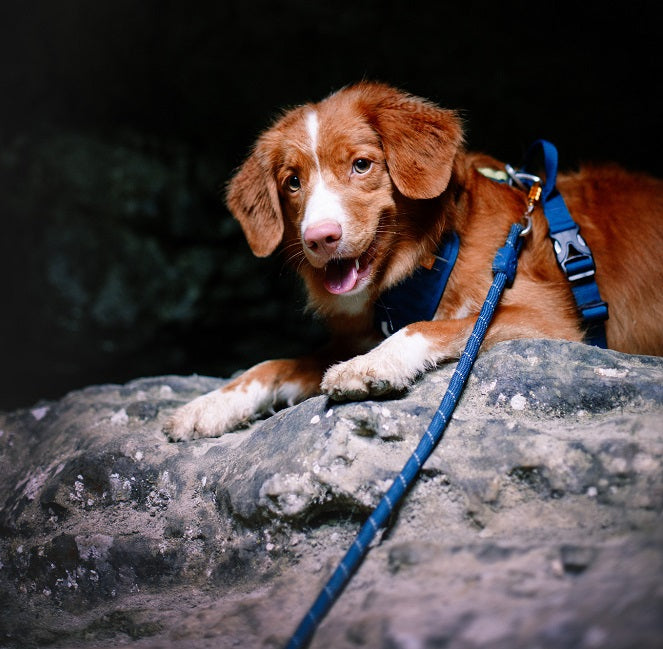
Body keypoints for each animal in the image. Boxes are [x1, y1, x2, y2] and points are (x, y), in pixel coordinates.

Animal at [165, 82, 663, 440]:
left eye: (362, 165)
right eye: (292, 182)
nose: (320, 238)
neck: (431, 253)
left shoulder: (548, 319)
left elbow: (430, 327)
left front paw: (373, 365)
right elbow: (272, 365)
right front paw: (212, 403)